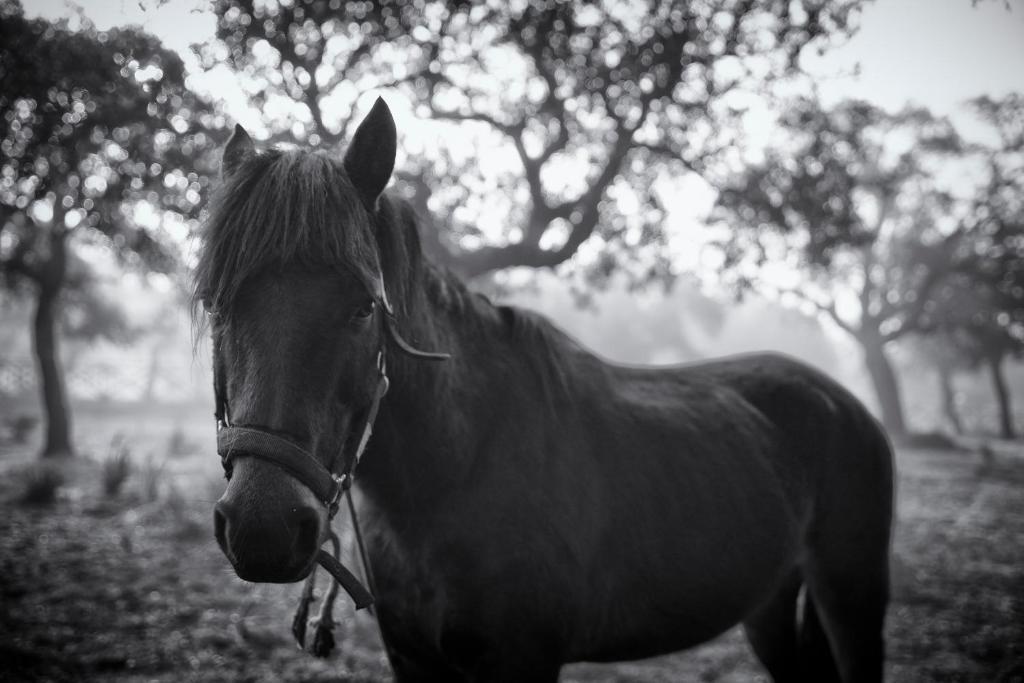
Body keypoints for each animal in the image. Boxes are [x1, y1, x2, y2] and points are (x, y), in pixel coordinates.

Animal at [195, 97, 892, 683]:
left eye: (365, 307)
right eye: (217, 303)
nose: (262, 526)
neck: (454, 473)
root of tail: (842, 402)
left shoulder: (522, 662)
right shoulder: (416, 663)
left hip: (851, 594)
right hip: (769, 603)